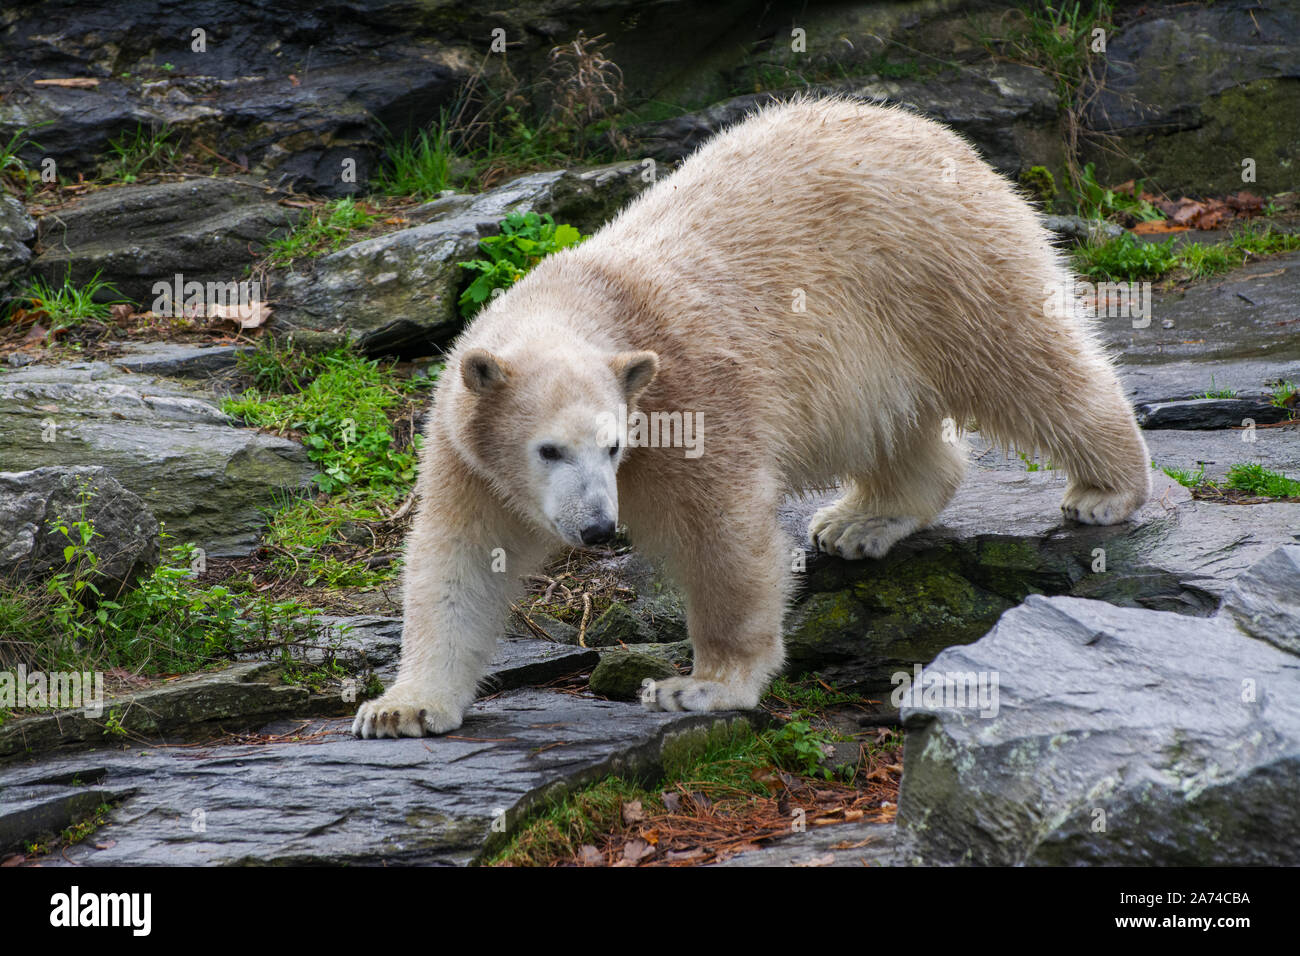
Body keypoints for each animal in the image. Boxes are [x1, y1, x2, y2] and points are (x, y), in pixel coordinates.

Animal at [352, 96, 1151, 738]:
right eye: (549, 450)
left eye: (613, 447)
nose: (599, 529)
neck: (592, 296)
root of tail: (934, 132)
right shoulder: (467, 448)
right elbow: (459, 557)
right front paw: (402, 708)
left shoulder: (695, 400)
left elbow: (723, 535)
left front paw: (701, 686)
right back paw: (860, 522)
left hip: (938, 262)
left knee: (1024, 363)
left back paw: (1105, 487)